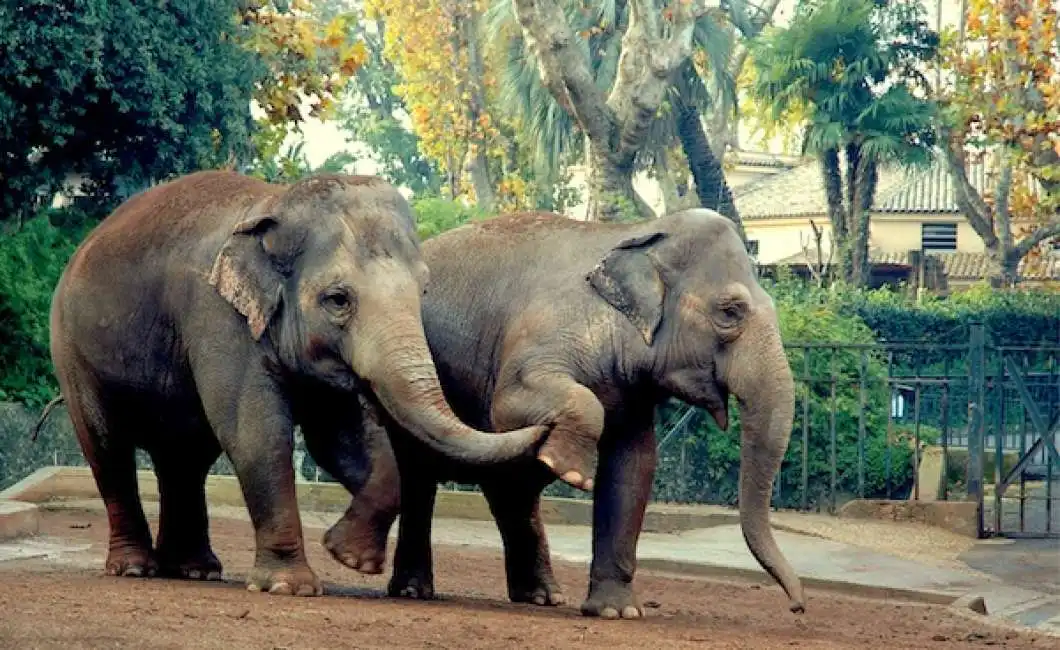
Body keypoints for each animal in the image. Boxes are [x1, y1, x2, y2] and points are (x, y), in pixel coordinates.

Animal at [46, 169, 551, 593]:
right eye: (337, 299)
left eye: (422, 291)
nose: (547, 425)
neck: (276, 203)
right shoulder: (218, 316)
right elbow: (256, 435)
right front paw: (290, 587)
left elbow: (339, 443)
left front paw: (350, 557)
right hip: (71, 350)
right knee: (107, 446)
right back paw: (135, 568)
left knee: (184, 456)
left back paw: (194, 570)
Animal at [320, 208, 801, 619]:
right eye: (730, 311)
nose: (797, 607)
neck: (639, 231)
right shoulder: (548, 332)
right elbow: (509, 407)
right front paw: (571, 471)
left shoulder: (632, 394)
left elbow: (634, 466)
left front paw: (616, 612)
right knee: (422, 475)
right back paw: (414, 591)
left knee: (509, 489)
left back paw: (541, 598)